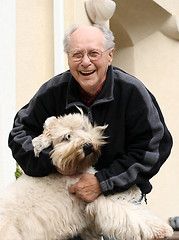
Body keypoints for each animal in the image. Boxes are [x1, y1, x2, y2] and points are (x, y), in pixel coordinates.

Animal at [0, 110, 173, 240]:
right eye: (67, 137)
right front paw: (163, 229)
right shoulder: (95, 196)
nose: (88, 146)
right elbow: (128, 212)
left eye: (83, 127)